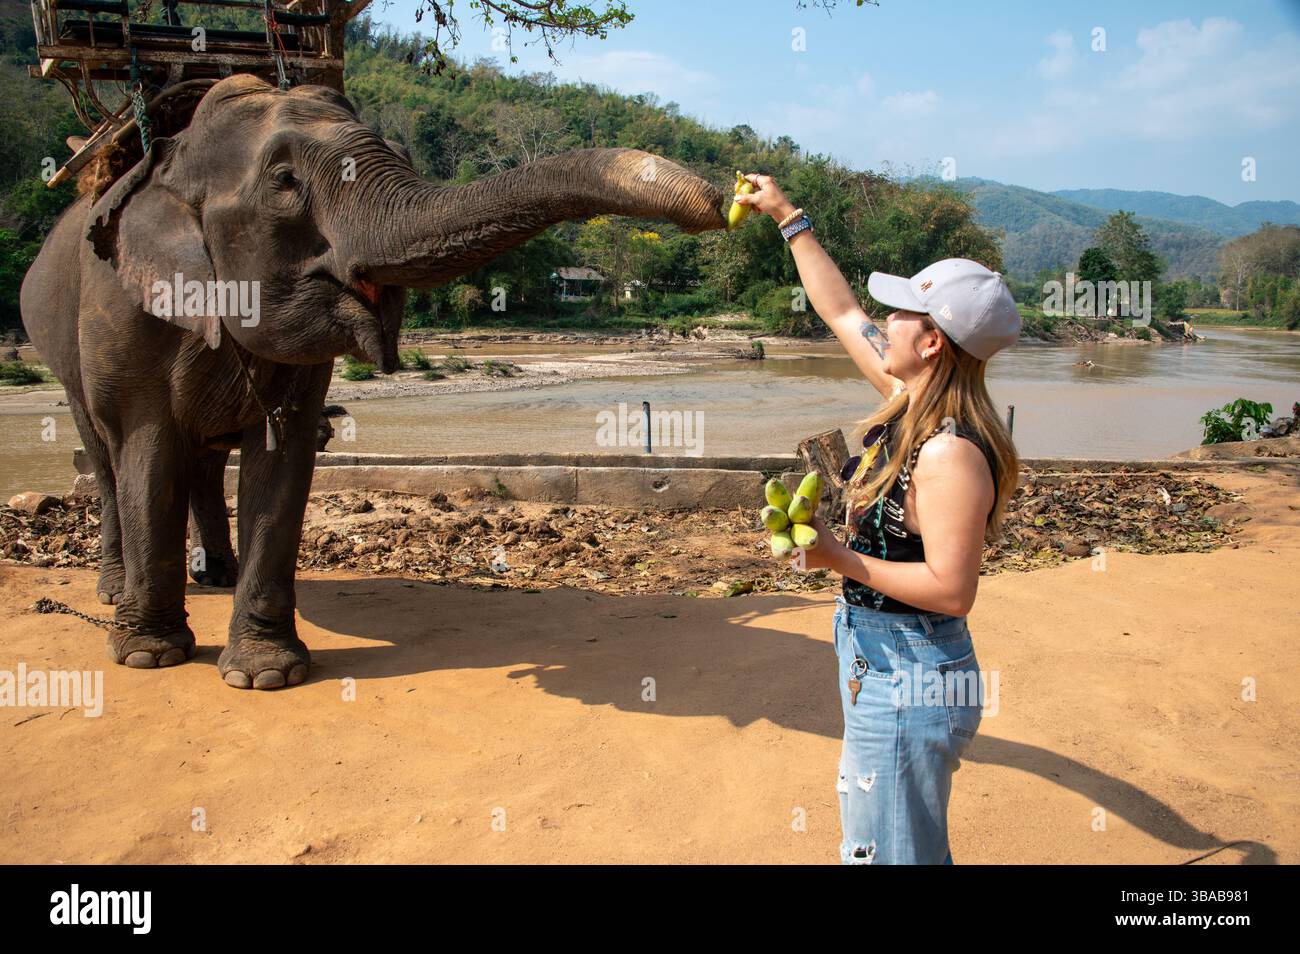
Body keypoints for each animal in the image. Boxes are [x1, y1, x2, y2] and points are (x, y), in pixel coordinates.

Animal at [21, 74, 726, 689]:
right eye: (284, 182)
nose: (721, 203)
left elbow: (283, 453)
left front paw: (266, 674)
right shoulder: (118, 309)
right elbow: (146, 444)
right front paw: (149, 657)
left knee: (203, 458)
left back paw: (217, 574)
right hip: (61, 346)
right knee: (106, 453)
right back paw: (116, 590)